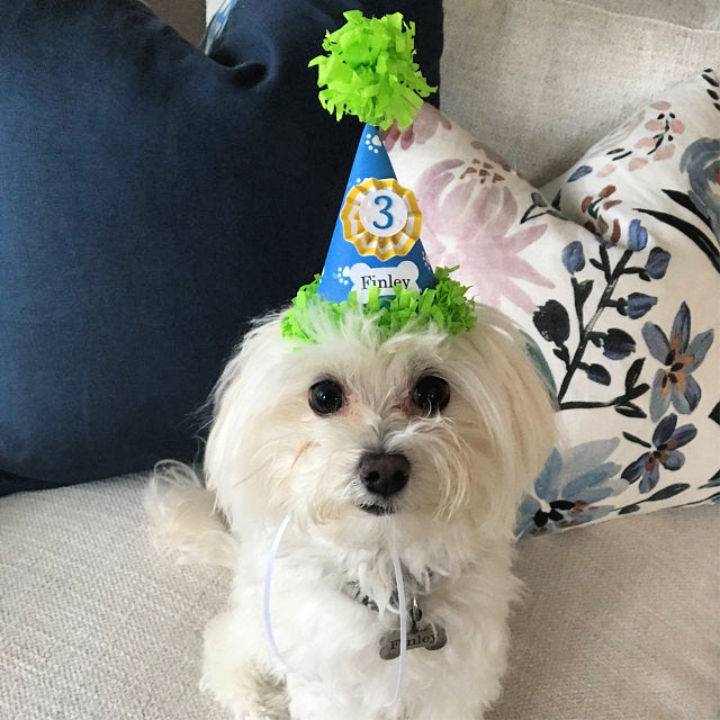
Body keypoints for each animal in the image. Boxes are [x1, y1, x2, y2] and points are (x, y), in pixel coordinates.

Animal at [149, 300, 556, 716]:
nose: (384, 471)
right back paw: (260, 703)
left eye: (432, 390)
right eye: (324, 395)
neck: (390, 582)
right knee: (225, 645)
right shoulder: (327, 685)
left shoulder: (455, 681)